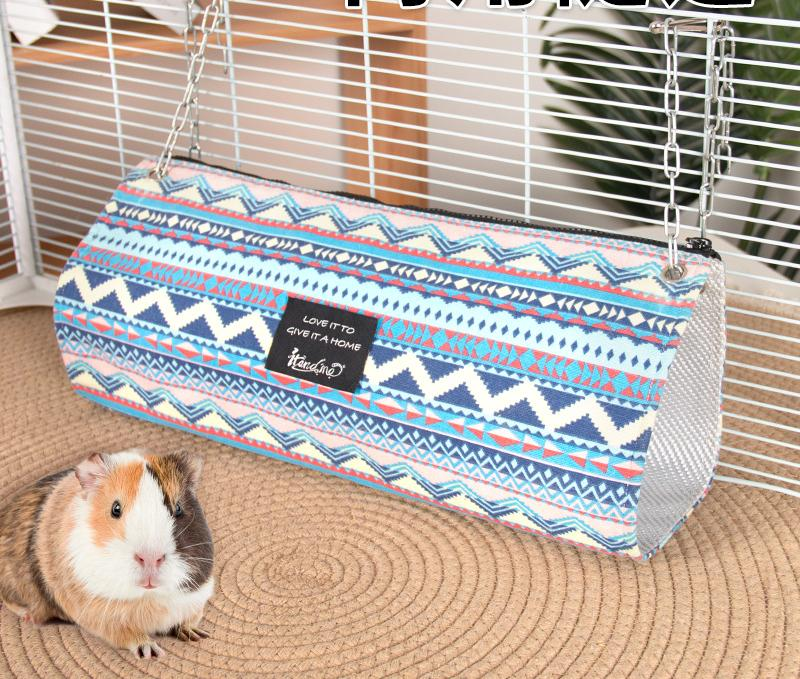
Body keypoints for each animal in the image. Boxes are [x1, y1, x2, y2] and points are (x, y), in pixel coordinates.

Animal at [0, 449, 214, 659]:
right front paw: (150, 651)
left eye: (178, 509)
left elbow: (189, 620)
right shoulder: (101, 617)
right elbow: (128, 635)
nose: (150, 558)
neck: (148, 597)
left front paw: (197, 635)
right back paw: (29, 617)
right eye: (115, 508)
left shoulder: (195, 601)